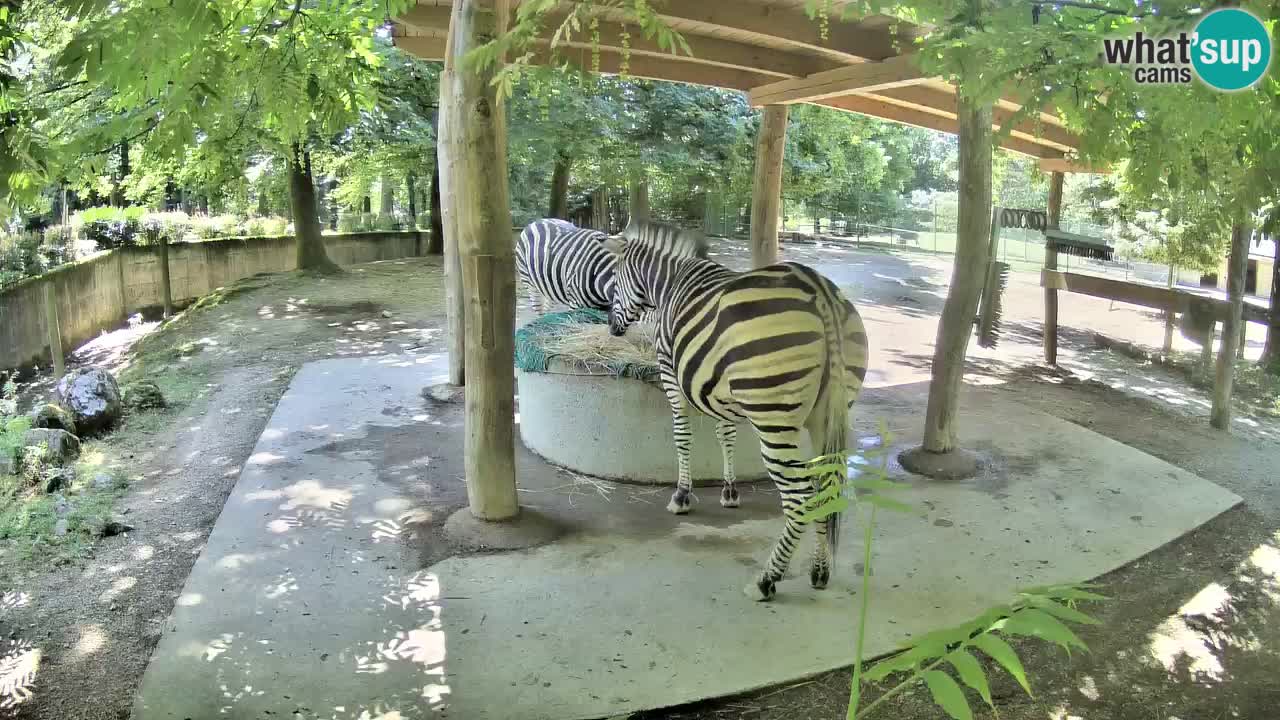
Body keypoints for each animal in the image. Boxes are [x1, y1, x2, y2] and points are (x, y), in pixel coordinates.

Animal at [607, 220, 869, 601]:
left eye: (614, 280)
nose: (611, 327)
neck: (670, 282)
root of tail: (819, 288)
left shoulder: (671, 374)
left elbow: (682, 436)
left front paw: (682, 496)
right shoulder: (718, 390)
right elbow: (725, 434)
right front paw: (729, 491)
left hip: (774, 418)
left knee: (799, 497)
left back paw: (767, 580)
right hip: (829, 412)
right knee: (826, 485)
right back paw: (819, 571)